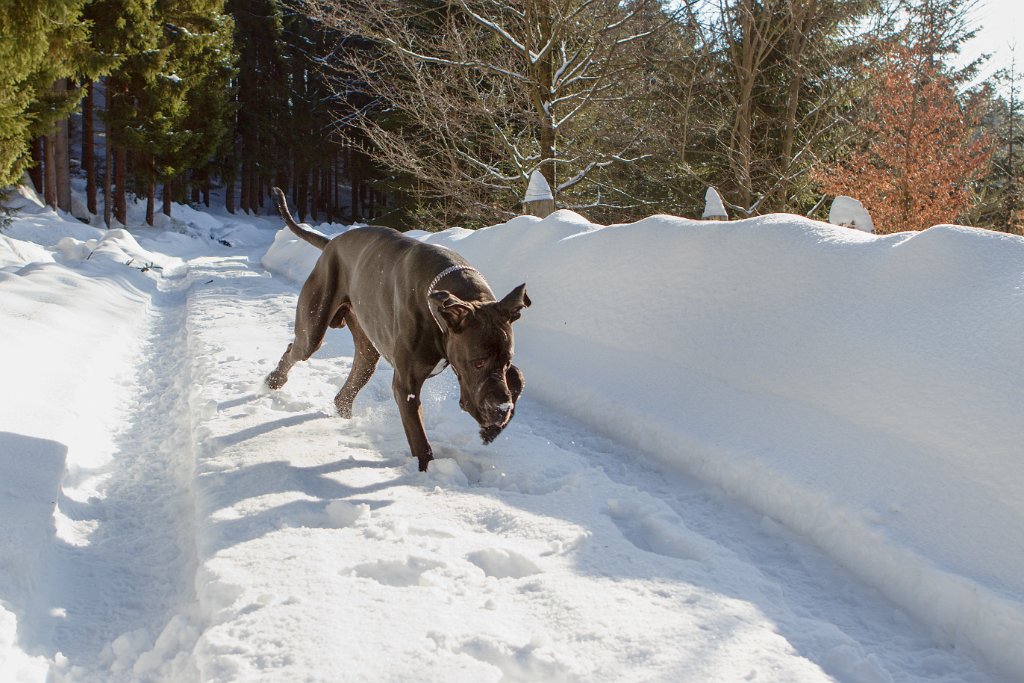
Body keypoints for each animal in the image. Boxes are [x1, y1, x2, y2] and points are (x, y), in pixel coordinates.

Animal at [264, 189, 528, 473]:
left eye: (506, 361)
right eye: (478, 363)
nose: (501, 409)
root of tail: (332, 243)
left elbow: (518, 377)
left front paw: (495, 426)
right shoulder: (406, 385)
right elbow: (419, 438)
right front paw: (425, 471)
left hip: (367, 351)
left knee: (347, 388)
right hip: (314, 326)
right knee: (296, 348)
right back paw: (274, 381)